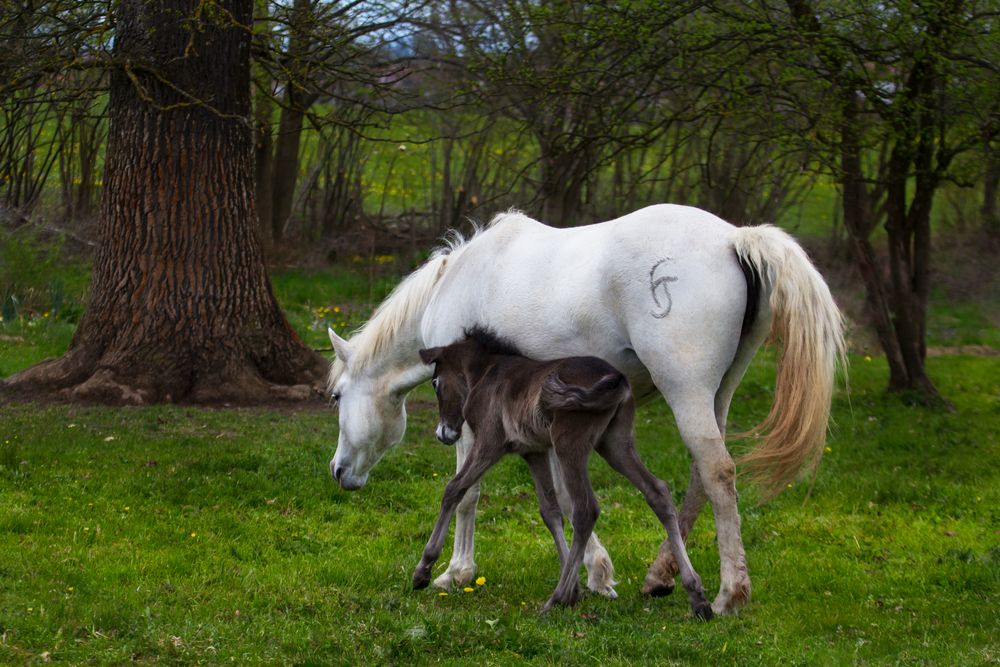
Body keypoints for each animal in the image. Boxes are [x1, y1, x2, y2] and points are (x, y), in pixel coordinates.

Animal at [412, 330, 712, 620]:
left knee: (586, 510)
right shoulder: (534, 451)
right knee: (657, 491)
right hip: (615, 444)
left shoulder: (490, 442)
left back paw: (556, 599)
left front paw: (423, 570)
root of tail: (616, 379)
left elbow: (454, 488)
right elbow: (550, 511)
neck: (487, 374)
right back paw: (697, 597)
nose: (444, 433)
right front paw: (576, 588)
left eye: (435, 383)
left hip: (569, 444)